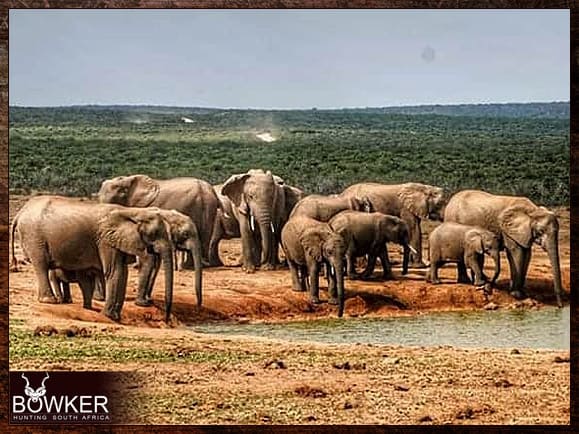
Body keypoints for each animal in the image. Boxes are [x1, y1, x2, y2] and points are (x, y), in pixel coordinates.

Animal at [10, 197, 174, 322]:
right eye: (154, 234)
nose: (166, 318)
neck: (132, 211)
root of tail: (20, 212)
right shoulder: (106, 240)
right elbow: (114, 272)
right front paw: (109, 316)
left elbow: (123, 273)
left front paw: (115, 317)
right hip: (34, 236)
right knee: (41, 265)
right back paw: (49, 301)